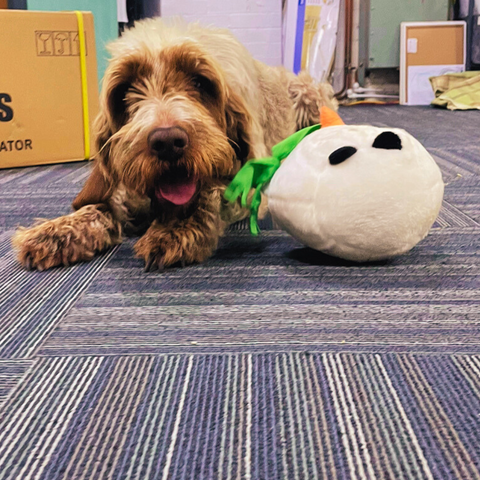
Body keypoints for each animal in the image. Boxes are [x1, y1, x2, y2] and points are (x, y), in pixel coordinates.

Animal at [12, 18, 338, 272]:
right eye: (125, 90)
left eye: (200, 82)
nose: (168, 142)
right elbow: (102, 203)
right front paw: (58, 230)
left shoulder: (251, 187)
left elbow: (211, 193)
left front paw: (176, 228)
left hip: (310, 94)